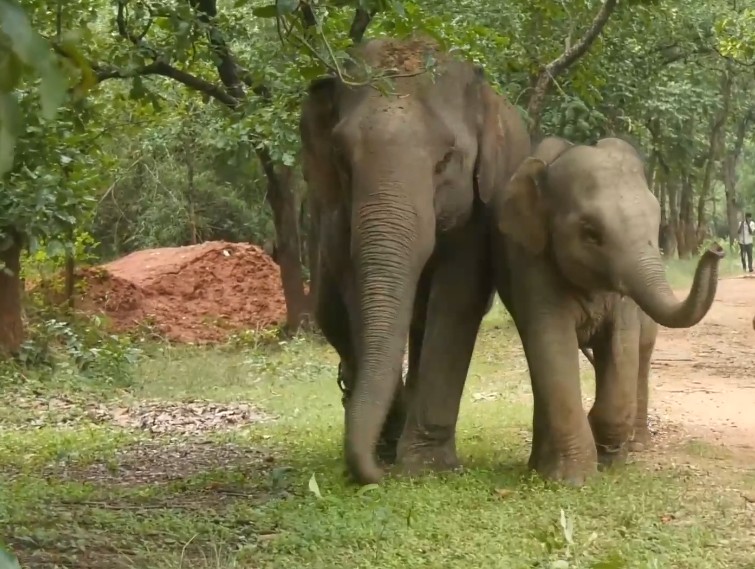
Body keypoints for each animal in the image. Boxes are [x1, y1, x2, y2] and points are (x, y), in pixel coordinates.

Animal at [300, 36, 530, 484]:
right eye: (341, 157)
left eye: (446, 159)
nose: (377, 475)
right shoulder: (336, 214)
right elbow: (356, 291)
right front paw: (395, 454)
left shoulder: (480, 208)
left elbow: (458, 296)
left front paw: (425, 467)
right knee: (332, 315)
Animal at [491, 136, 725, 485]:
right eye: (591, 233)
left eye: (656, 222)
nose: (716, 248)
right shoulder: (529, 262)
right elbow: (551, 341)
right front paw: (572, 479)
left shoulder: (624, 301)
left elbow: (621, 342)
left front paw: (610, 461)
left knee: (641, 354)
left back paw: (636, 446)